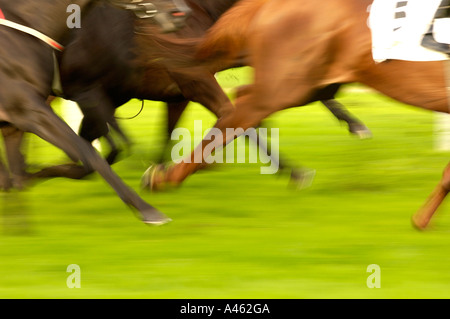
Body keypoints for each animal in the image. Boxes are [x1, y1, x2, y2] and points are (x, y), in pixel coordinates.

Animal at [147, 0, 450, 231]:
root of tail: (269, 4)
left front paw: (422, 221)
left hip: (312, 84)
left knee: (239, 101)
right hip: (285, 86)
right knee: (235, 117)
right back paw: (164, 177)